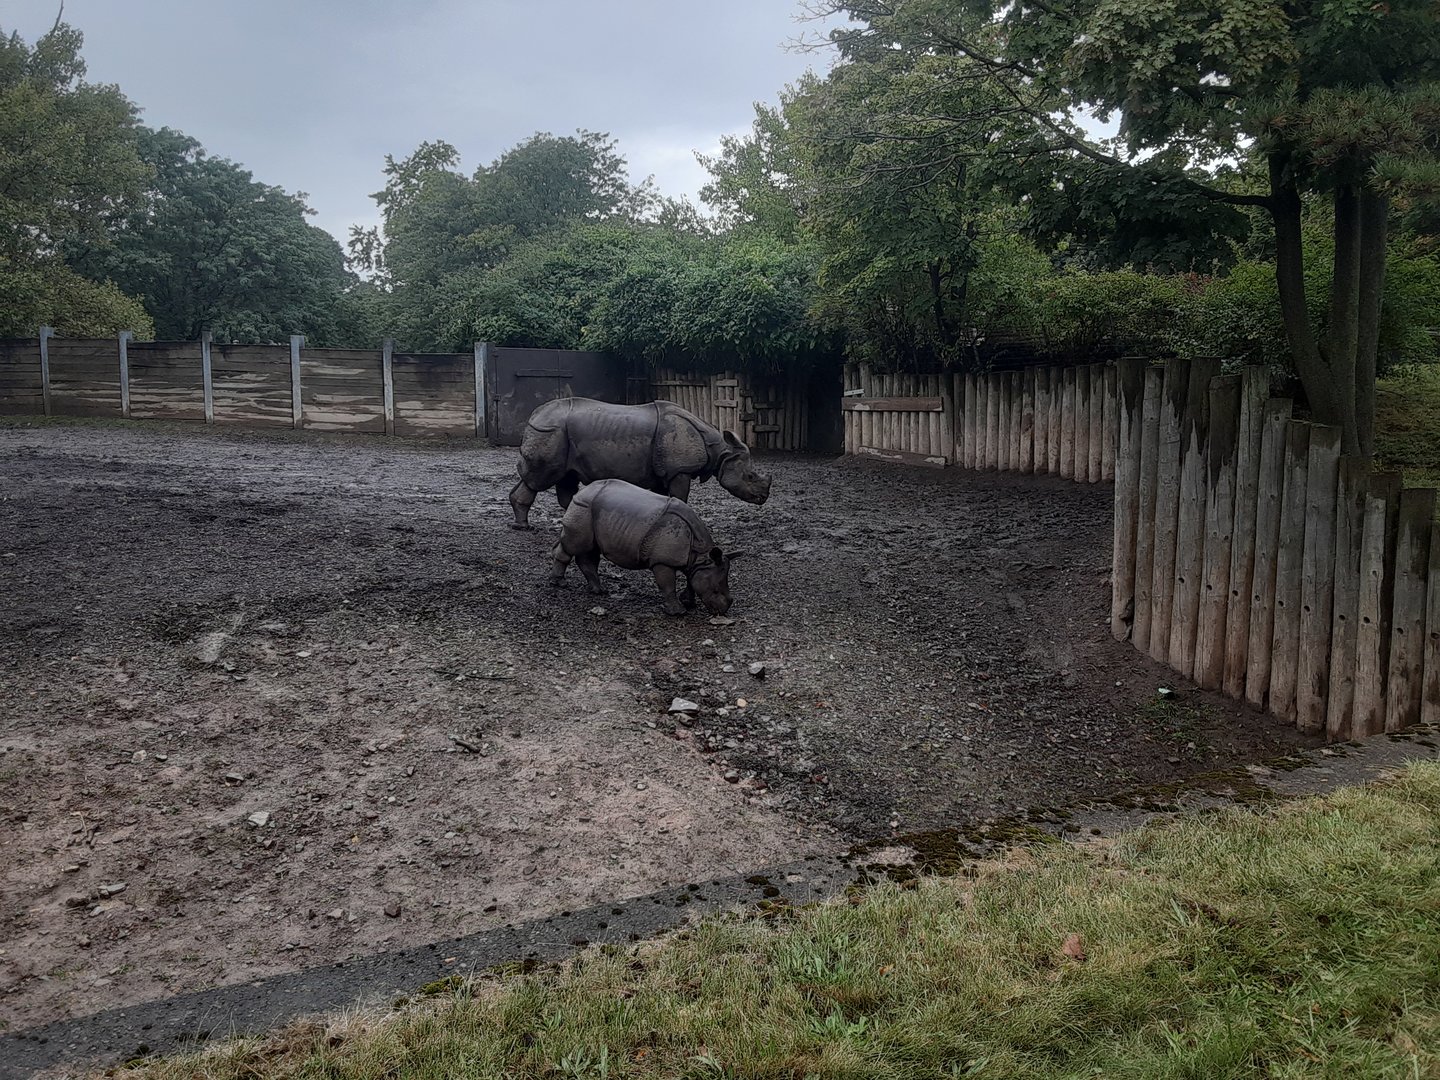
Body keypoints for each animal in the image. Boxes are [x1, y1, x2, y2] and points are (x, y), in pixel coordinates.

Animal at [508, 397, 771, 528]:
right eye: (750, 477)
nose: (763, 498)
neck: (721, 451)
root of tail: (534, 414)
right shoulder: (679, 471)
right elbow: (680, 497)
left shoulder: (663, 472)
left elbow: (662, 498)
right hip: (550, 432)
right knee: (539, 479)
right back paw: (524, 527)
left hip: (559, 435)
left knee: (564, 478)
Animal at [549, 478, 742, 616]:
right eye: (715, 590)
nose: (723, 611)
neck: (700, 555)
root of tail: (582, 492)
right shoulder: (662, 561)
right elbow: (668, 585)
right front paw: (678, 612)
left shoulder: (694, 564)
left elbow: (691, 580)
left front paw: (689, 603)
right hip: (582, 508)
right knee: (574, 546)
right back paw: (560, 583)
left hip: (590, 511)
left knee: (590, 550)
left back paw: (599, 591)